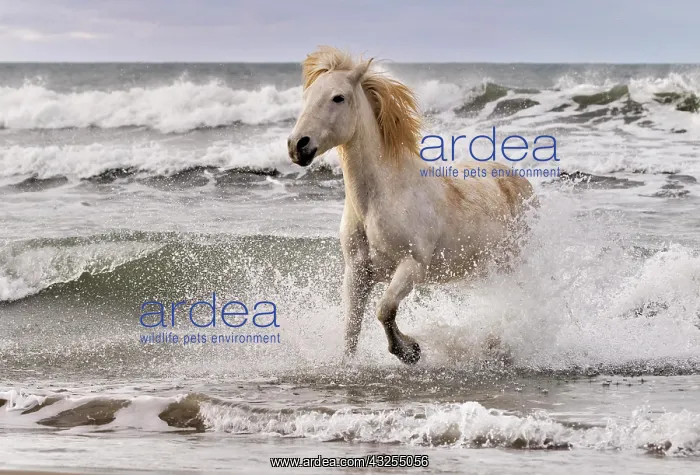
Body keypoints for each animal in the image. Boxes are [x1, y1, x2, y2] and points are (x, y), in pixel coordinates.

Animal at [287, 46, 535, 365]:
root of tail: (517, 179)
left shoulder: (411, 267)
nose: (298, 146)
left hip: (514, 262)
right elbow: (352, 327)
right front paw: (352, 363)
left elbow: (384, 309)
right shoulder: (357, 273)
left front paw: (409, 351)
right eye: (307, 96)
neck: (378, 201)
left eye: (338, 97)